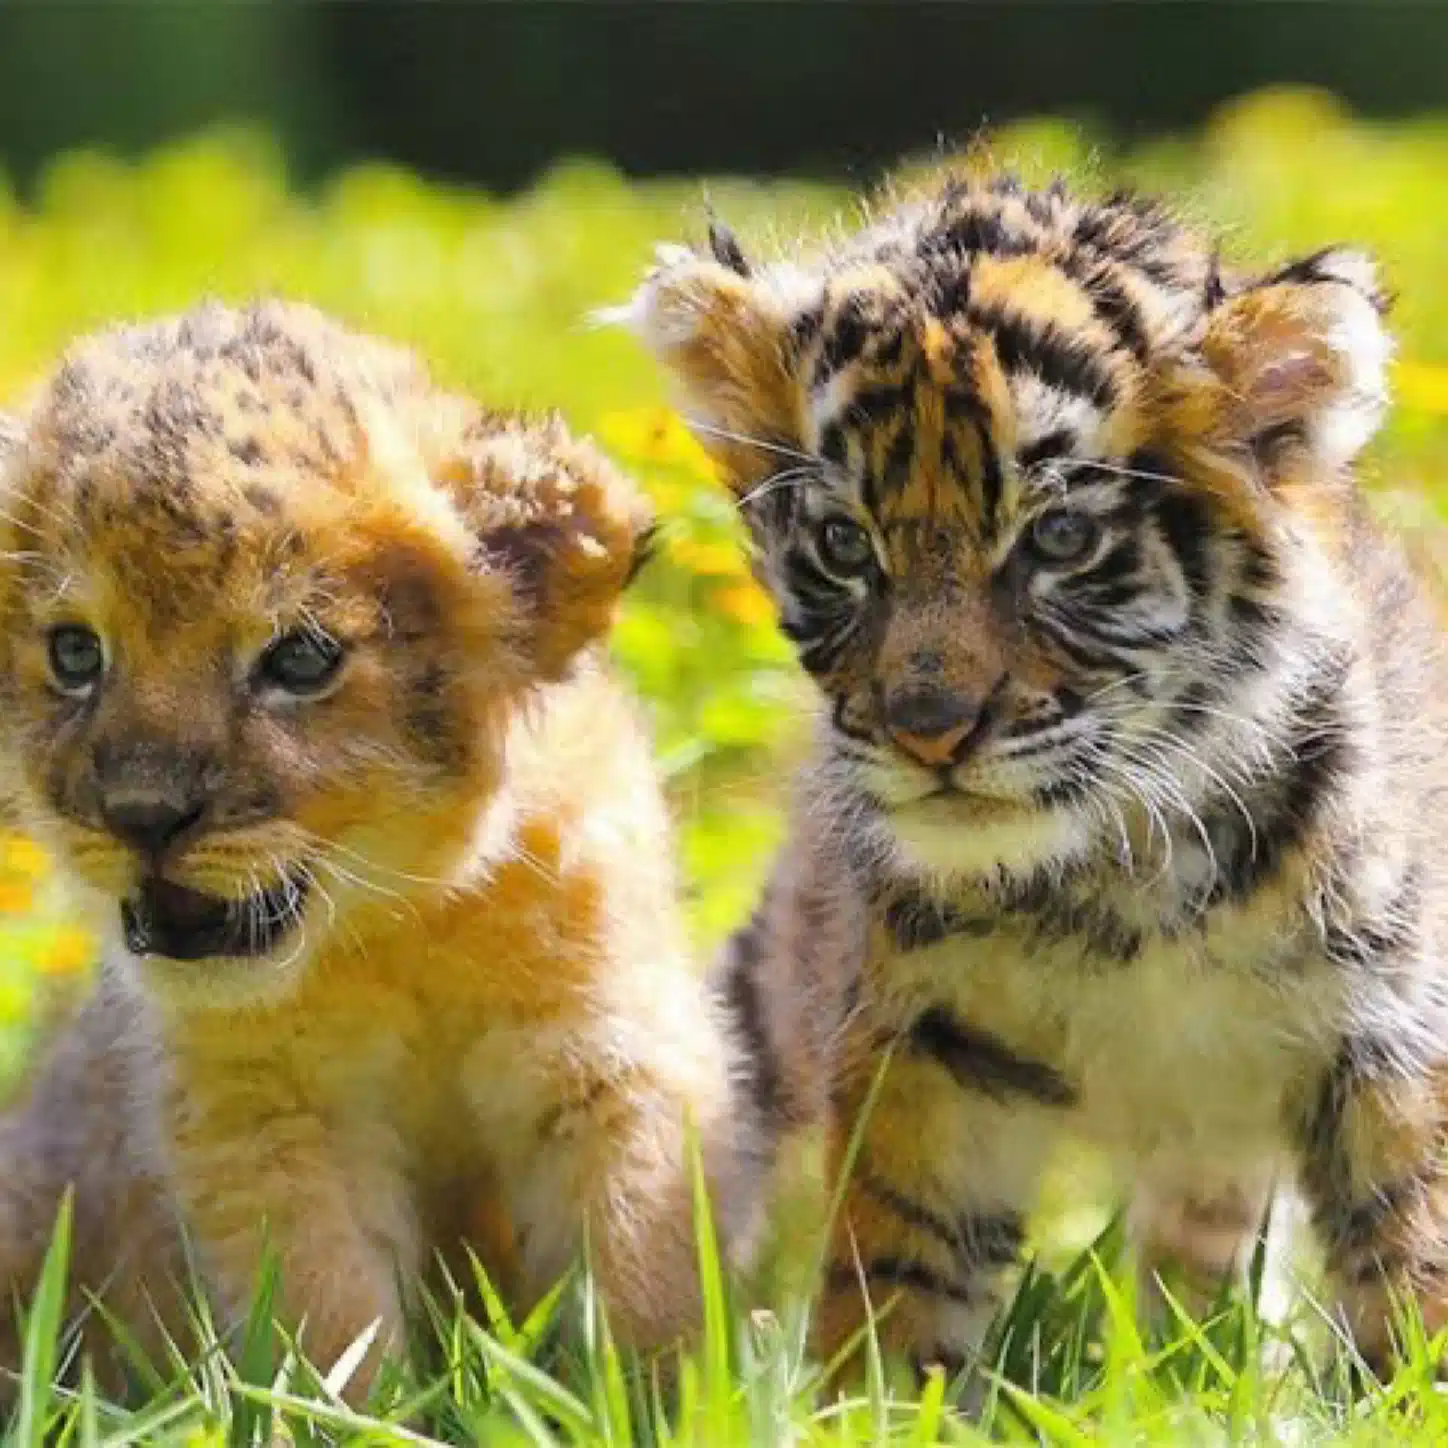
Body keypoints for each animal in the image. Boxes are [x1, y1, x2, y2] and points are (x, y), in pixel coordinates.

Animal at [615, 169, 1448, 1385]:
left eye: (1057, 540)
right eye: (842, 545)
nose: (927, 730)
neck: (1120, 876)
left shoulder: (1384, 1029)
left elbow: (1408, 1245)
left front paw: (1409, 1386)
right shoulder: (931, 1035)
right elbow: (900, 1266)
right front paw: (872, 1398)